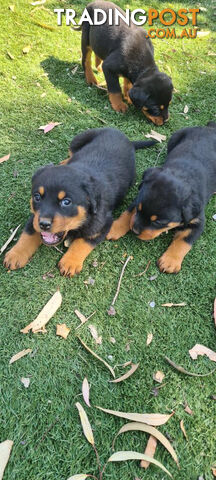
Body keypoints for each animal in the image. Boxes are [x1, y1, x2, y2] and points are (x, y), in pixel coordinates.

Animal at [4, 127, 156, 278]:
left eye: (66, 202)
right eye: (37, 197)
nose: (44, 224)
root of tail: (123, 136)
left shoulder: (102, 224)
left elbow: (83, 241)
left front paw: (70, 262)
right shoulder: (35, 216)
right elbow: (28, 234)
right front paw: (15, 254)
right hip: (79, 139)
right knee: (71, 152)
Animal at [106, 122, 216, 274]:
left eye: (158, 222)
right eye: (139, 210)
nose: (135, 231)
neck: (182, 175)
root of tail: (211, 127)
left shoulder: (197, 220)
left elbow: (184, 240)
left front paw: (170, 261)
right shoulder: (138, 199)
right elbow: (127, 213)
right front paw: (114, 228)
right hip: (175, 137)